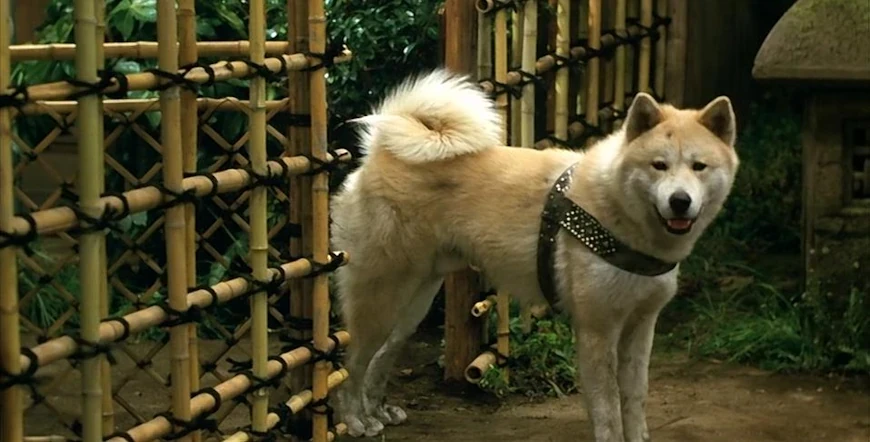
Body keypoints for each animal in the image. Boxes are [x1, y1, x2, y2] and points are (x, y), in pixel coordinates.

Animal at [330, 69, 738, 442]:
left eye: (699, 167)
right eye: (659, 165)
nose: (680, 201)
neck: (617, 212)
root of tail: (379, 155)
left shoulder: (640, 327)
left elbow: (635, 401)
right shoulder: (597, 330)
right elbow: (607, 410)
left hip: (413, 302)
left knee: (380, 359)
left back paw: (377, 411)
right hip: (380, 299)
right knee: (353, 364)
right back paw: (356, 421)